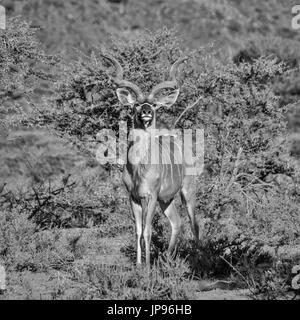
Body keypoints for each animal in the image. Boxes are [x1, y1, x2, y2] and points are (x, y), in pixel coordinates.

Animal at [101, 52, 199, 264]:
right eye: (137, 104)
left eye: (154, 104)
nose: (146, 111)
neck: (139, 168)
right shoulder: (133, 196)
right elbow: (137, 231)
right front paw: (138, 264)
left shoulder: (151, 195)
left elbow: (147, 231)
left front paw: (147, 266)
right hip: (166, 200)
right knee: (176, 222)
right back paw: (167, 258)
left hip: (187, 191)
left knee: (194, 223)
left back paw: (200, 256)